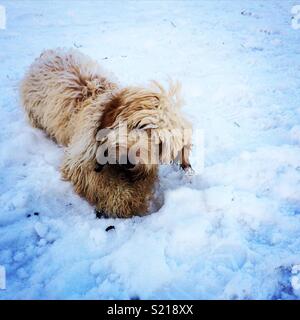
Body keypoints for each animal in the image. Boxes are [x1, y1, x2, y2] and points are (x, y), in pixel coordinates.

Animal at [19, 48, 192, 218]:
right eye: (140, 125)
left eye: (160, 143)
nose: (128, 160)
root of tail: (49, 52)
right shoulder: (80, 161)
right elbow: (101, 182)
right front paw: (123, 202)